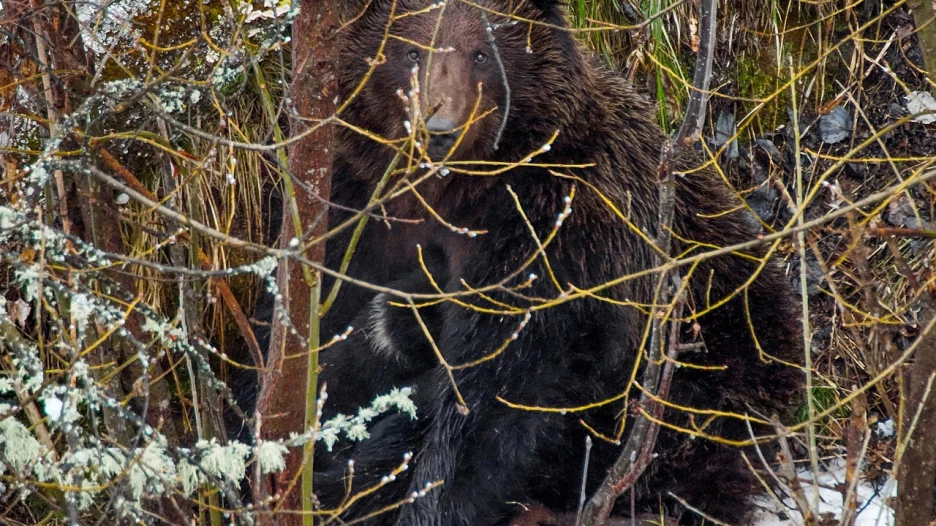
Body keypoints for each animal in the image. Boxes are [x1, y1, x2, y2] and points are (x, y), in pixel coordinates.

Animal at [308, 1, 804, 526]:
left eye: (481, 53)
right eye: (409, 50)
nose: (439, 131)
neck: (456, 191)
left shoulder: (553, 231)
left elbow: (498, 390)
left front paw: (432, 500)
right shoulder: (360, 210)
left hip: (713, 354)